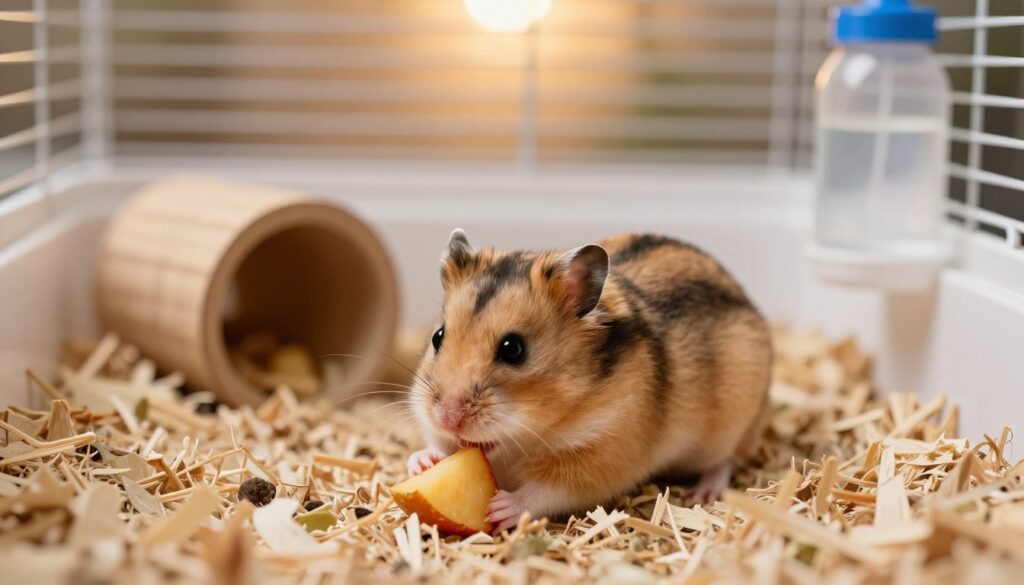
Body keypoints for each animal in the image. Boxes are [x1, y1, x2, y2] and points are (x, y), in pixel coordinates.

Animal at [406, 229, 772, 532]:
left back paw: (706, 492)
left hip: (731, 428)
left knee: (725, 461)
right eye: (438, 336)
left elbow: (546, 491)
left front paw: (500, 508)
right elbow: (436, 444)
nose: (448, 418)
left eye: (513, 349)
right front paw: (421, 463)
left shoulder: (600, 455)